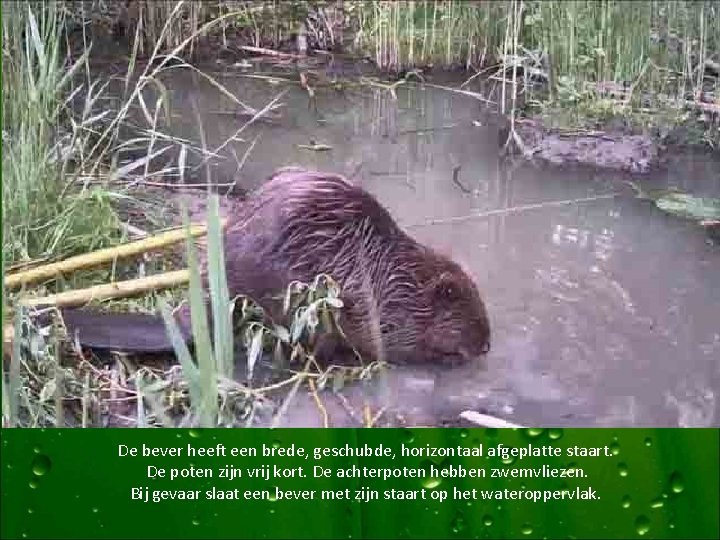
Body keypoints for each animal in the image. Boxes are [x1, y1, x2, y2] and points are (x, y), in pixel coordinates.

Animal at [178, 167, 492, 364]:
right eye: (472, 317)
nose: (486, 346)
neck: (402, 277)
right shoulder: (385, 312)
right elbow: (394, 345)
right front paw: (447, 356)